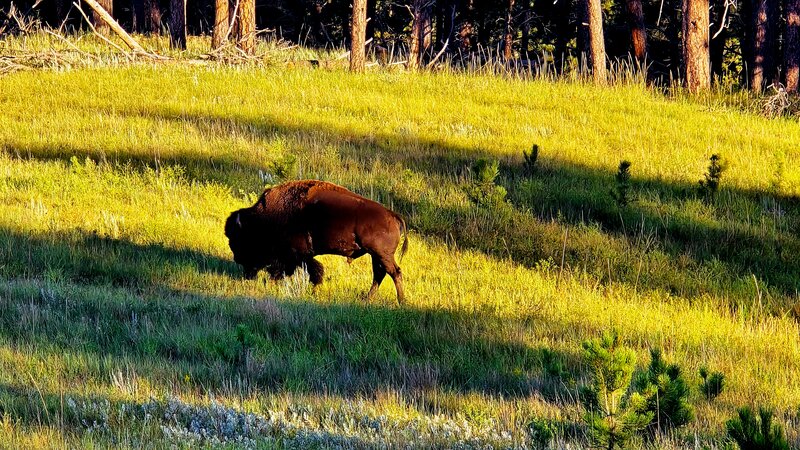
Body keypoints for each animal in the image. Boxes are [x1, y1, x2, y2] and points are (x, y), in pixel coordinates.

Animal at [225, 180, 408, 303]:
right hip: (375, 255)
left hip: (381, 254)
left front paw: (313, 291)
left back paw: (401, 301)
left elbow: (313, 272)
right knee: (379, 274)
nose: (237, 259)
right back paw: (367, 299)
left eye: (239, 238)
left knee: (394, 272)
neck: (266, 218)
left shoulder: (298, 255)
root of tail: (392, 215)